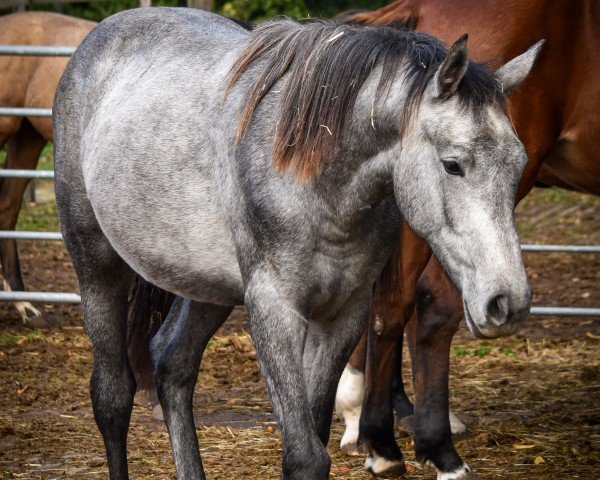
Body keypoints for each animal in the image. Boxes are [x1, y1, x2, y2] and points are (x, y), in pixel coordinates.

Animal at [52, 8, 540, 480]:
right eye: (453, 164)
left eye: (519, 164)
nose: (507, 303)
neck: (313, 177)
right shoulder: (275, 310)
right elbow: (305, 456)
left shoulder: (344, 312)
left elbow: (314, 433)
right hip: (96, 265)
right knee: (113, 396)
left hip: (209, 288)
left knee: (173, 365)